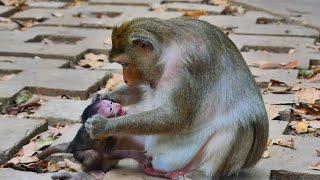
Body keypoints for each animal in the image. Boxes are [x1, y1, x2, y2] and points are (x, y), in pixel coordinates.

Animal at [85, 16, 268, 179]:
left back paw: (201, 174)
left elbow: (174, 117)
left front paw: (105, 125)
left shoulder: (186, 67)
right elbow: (142, 89)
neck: (167, 50)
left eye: (125, 64)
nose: (125, 79)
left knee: (242, 125)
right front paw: (103, 96)